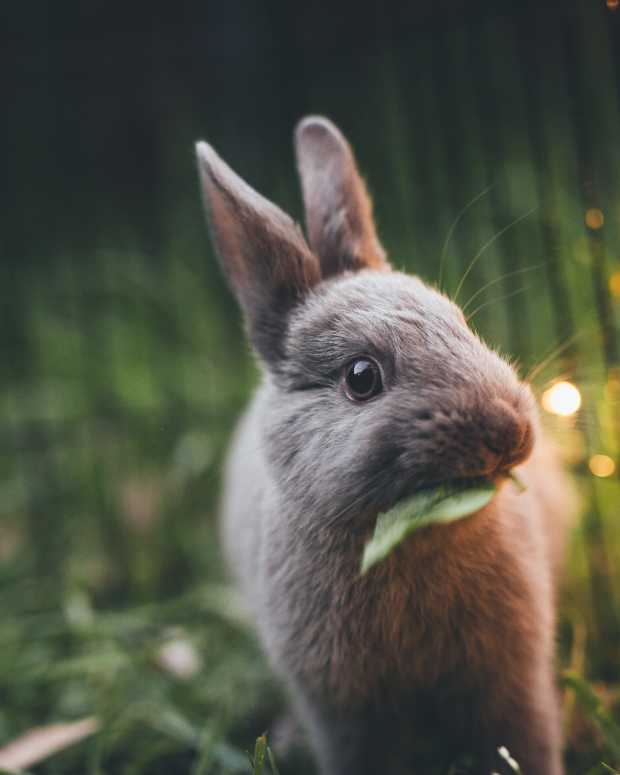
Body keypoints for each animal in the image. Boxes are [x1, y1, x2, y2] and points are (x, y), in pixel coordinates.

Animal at [195, 116, 573, 775]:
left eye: (461, 323)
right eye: (361, 377)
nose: (511, 432)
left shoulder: (513, 678)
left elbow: (524, 738)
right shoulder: (344, 711)